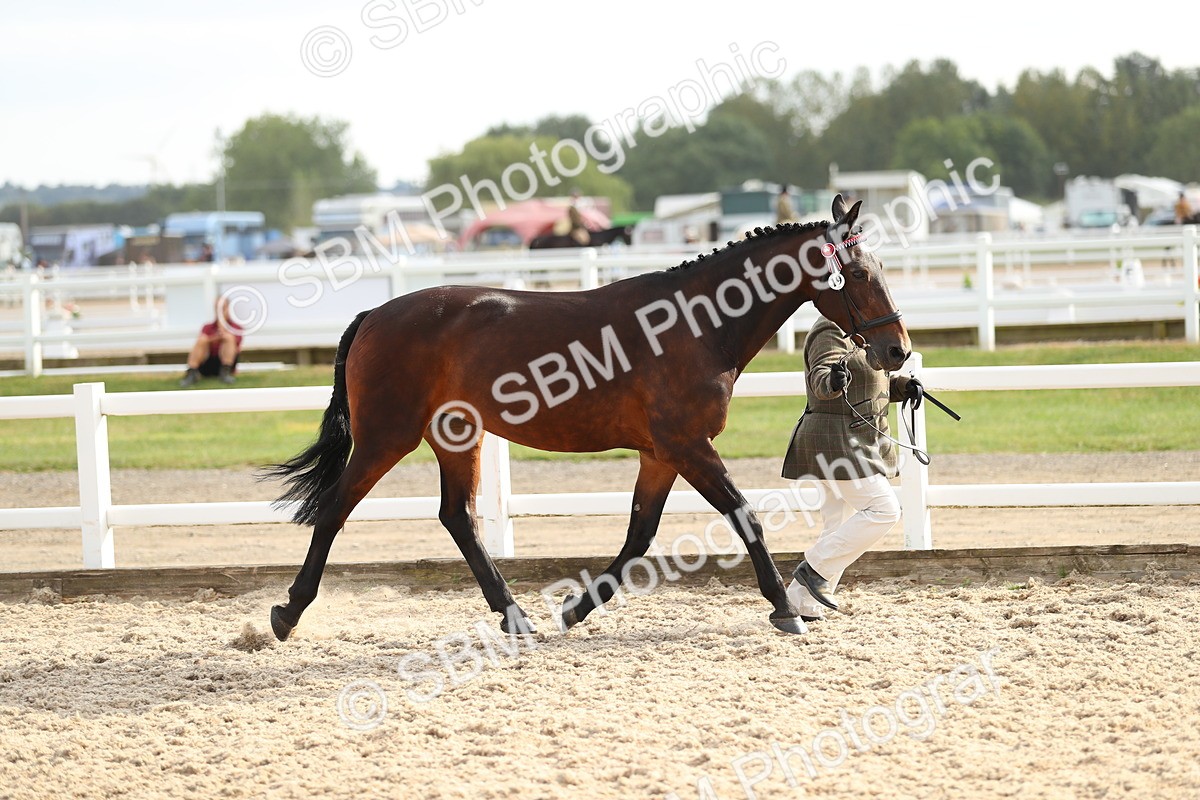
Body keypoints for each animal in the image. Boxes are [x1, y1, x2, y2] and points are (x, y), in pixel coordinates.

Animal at [262, 194, 910, 641]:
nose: (898, 351)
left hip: (457, 438)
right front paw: (784, 609)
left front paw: (576, 608)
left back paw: (516, 617)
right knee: (337, 507)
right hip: (386, 438)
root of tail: (374, 314)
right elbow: (744, 516)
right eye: (857, 274)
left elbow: (639, 534)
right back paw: (287, 613)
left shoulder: (660, 453)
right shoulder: (688, 445)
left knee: (458, 517)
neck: (697, 325)